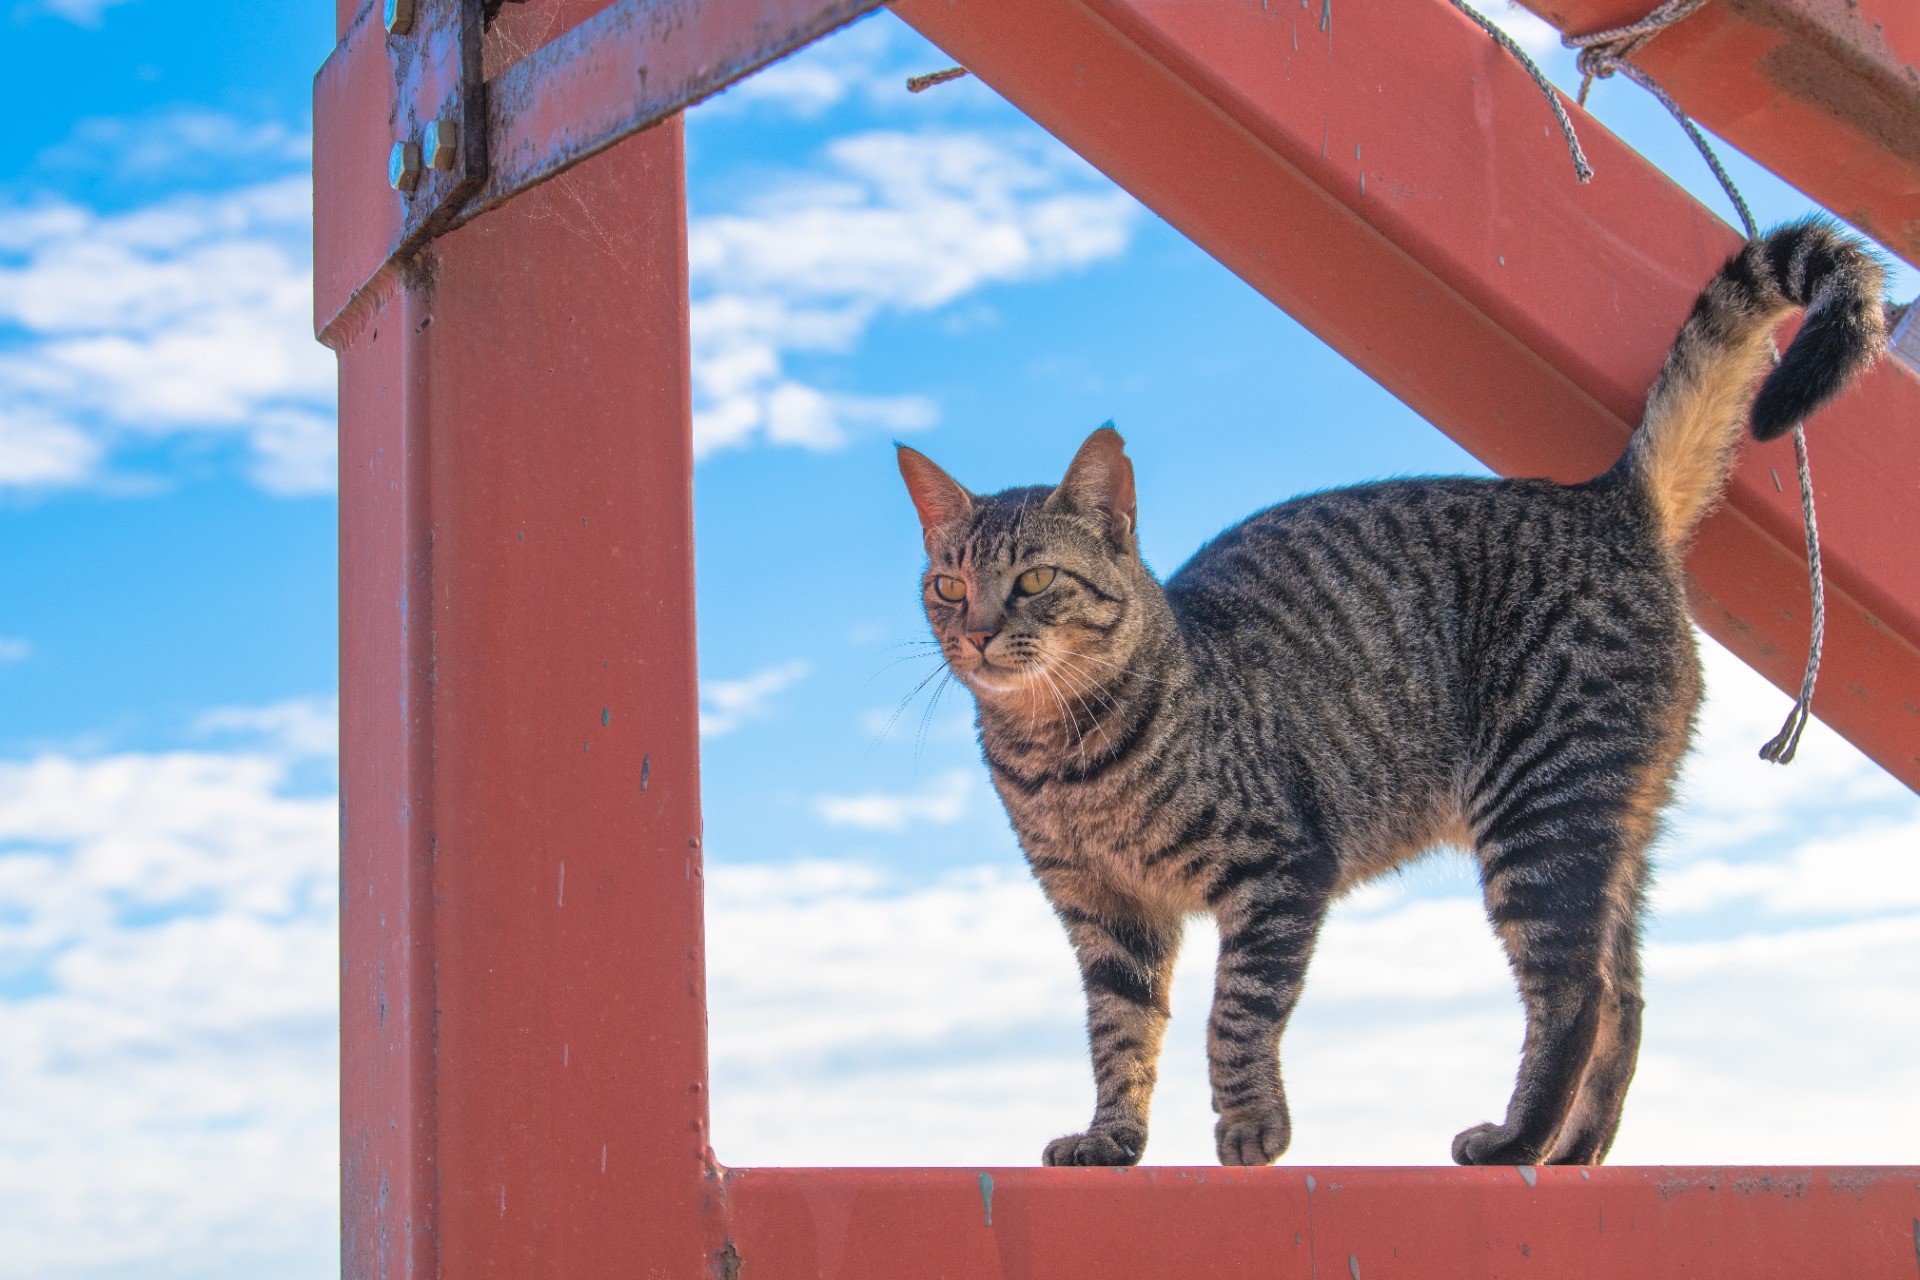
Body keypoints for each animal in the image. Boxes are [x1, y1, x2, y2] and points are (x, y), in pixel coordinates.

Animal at [898, 222, 1889, 1174]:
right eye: (948, 586)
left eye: (1033, 580)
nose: (975, 632)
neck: (1061, 758)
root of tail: (1604, 499)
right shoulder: (1106, 919)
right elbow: (1119, 1039)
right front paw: (1112, 1139)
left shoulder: (1278, 870)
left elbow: (1235, 1018)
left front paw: (1251, 1127)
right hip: (1608, 830)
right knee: (1629, 996)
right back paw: (1574, 1150)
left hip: (1541, 814)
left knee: (1578, 991)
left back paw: (1517, 1140)